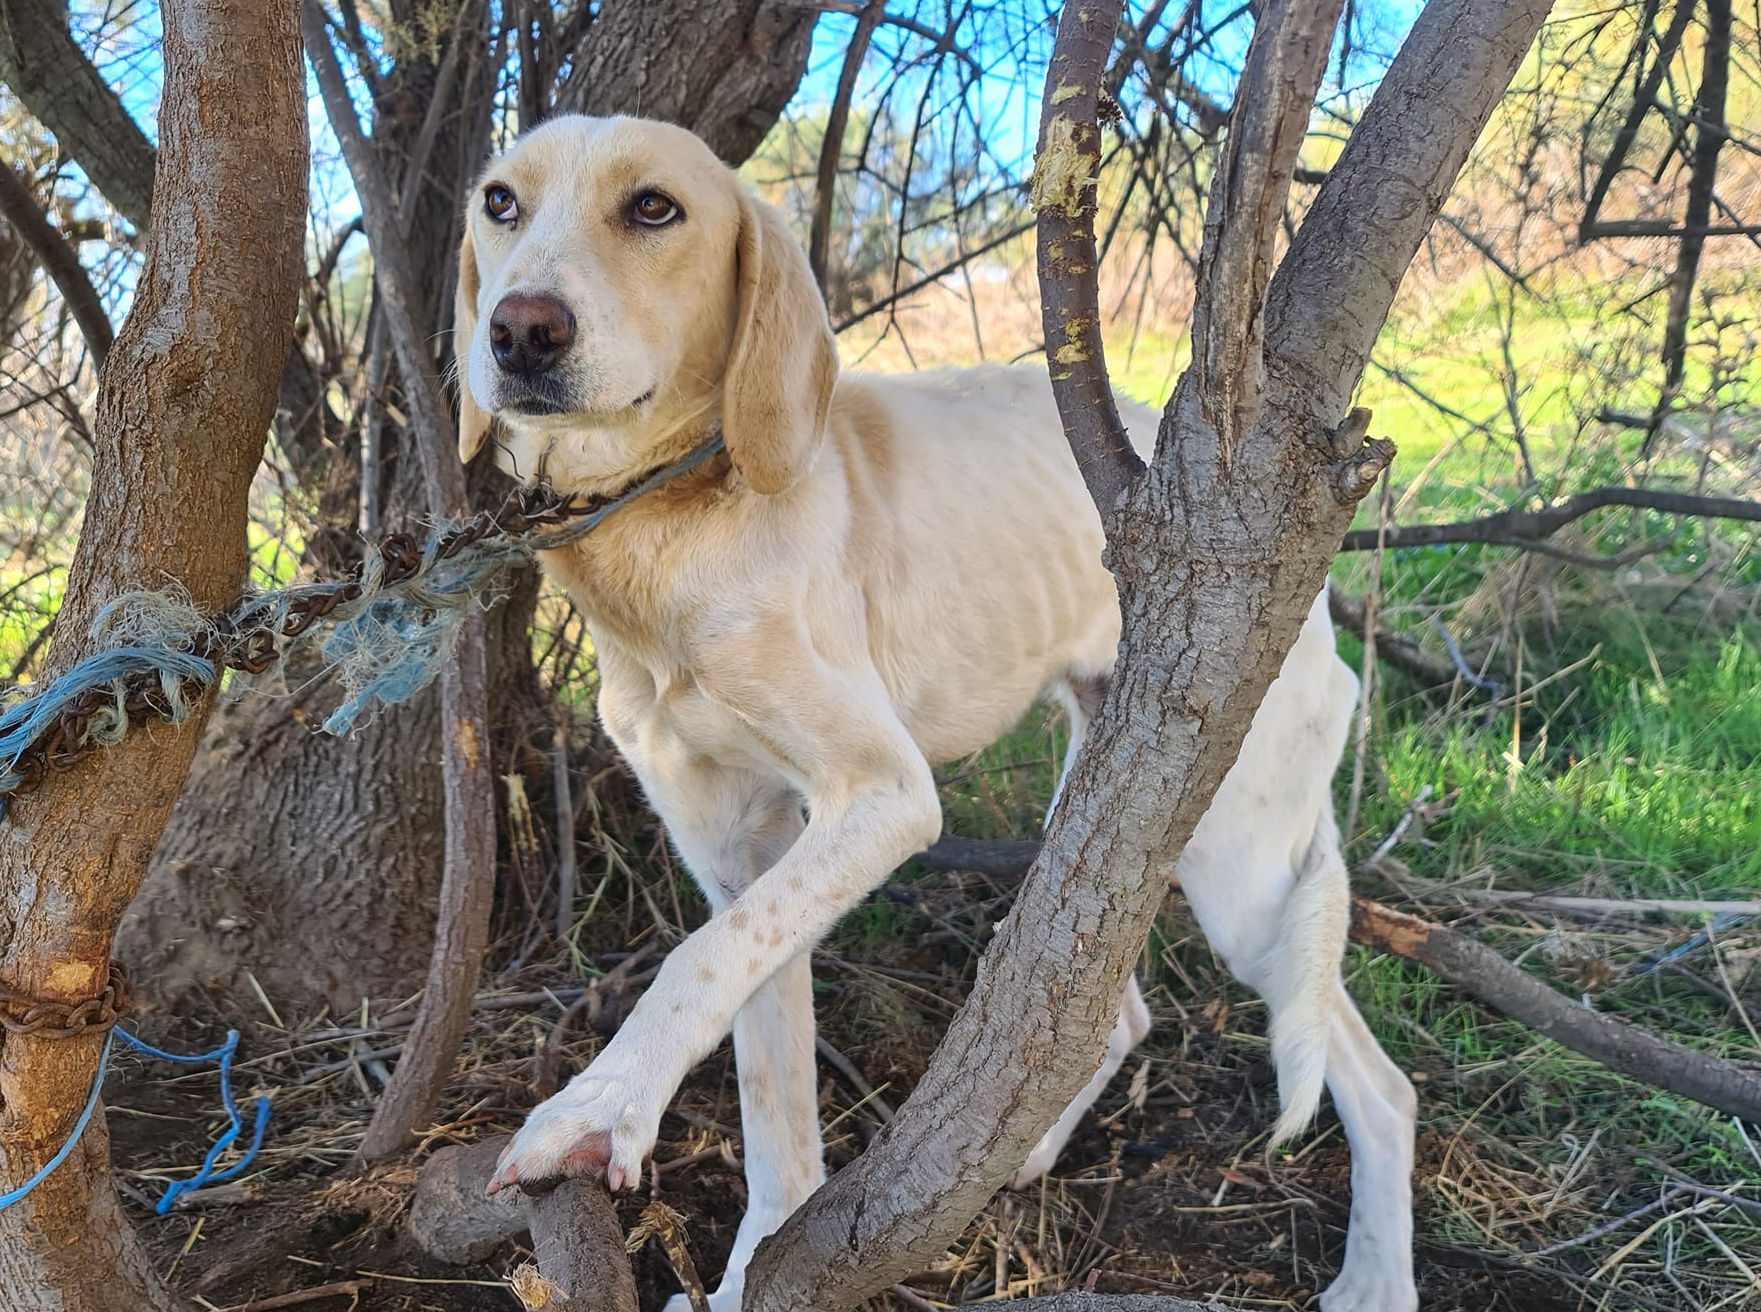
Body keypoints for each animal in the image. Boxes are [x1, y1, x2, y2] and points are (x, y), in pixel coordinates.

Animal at [454, 115, 1415, 1310]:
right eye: (499, 202)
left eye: (653, 208)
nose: (518, 331)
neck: (669, 531)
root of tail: (1311, 597)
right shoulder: (739, 855)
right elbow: (765, 1074)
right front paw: (750, 1264)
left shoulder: (883, 795)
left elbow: (691, 965)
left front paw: (594, 1111)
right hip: (1109, 804)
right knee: (1117, 1010)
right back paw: (1024, 1154)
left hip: (1234, 863)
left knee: (1379, 1083)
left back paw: (1376, 1280)